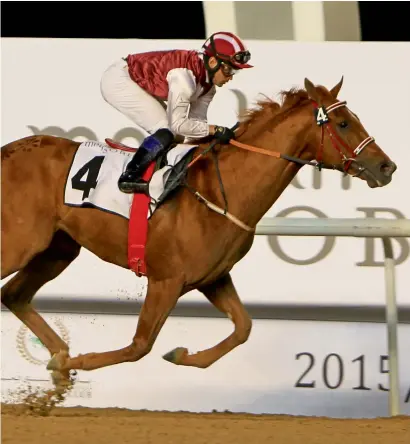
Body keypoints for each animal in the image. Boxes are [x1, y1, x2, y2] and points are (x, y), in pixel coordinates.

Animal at [0, 79, 398, 388]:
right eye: (343, 123)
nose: (387, 166)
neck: (221, 192)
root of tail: (9, 150)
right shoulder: (166, 279)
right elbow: (140, 345)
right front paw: (70, 363)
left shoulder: (213, 277)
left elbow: (243, 327)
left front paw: (180, 354)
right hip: (19, 244)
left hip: (57, 249)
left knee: (14, 295)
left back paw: (57, 353)